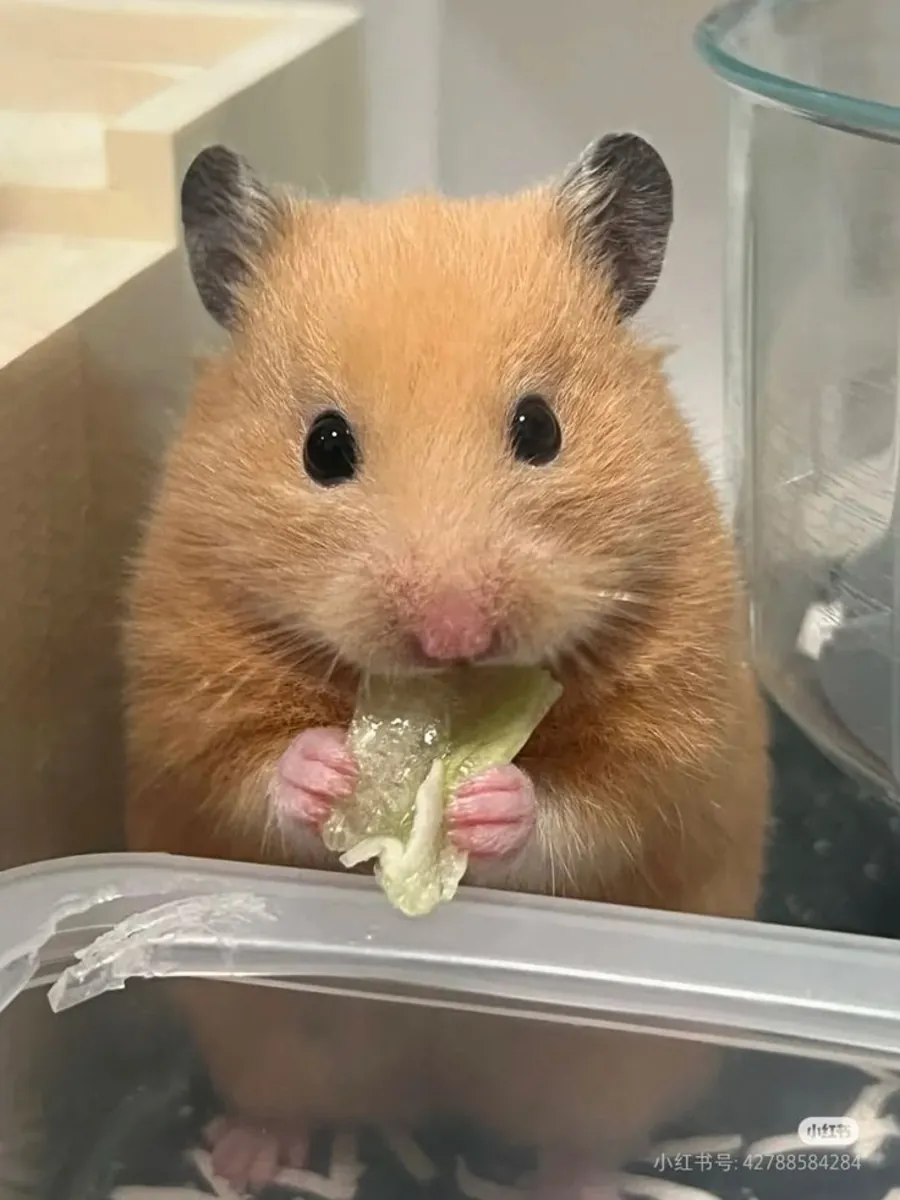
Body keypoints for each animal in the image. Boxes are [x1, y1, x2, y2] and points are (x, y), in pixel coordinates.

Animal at [124, 135, 770, 1194]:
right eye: (324, 445)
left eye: (541, 428)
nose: (454, 635)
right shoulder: (185, 695)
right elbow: (246, 773)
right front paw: (334, 771)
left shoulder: (672, 734)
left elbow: (596, 809)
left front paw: (482, 802)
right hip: (263, 1032)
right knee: (287, 1098)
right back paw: (247, 1156)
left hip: (618, 1063)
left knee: (580, 1135)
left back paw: (573, 1178)